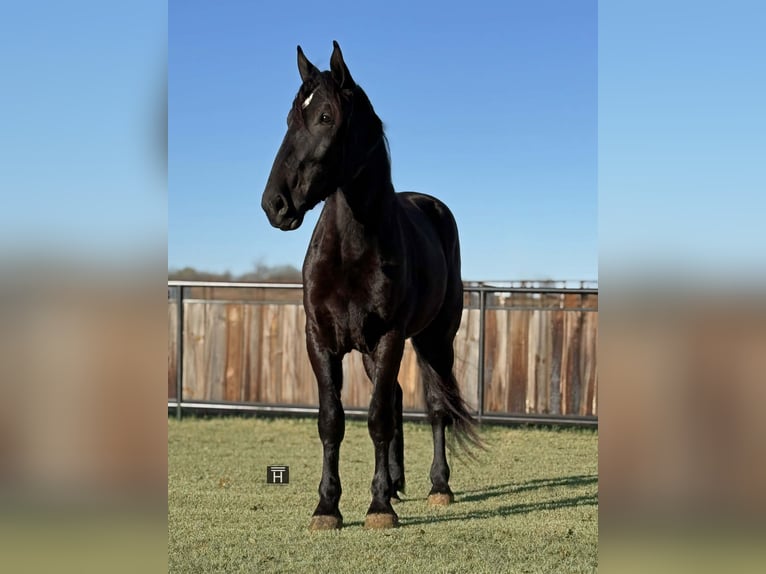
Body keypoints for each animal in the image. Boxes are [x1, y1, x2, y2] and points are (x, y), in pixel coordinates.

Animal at [261, 41, 480, 530]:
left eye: (325, 116)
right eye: (288, 118)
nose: (274, 204)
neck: (351, 252)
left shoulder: (390, 336)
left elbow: (378, 417)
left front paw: (378, 507)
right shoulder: (321, 339)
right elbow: (332, 419)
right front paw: (327, 507)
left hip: (435, 338)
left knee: (435, 405)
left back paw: (437, 487)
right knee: (397, 396)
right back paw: (396, 483)